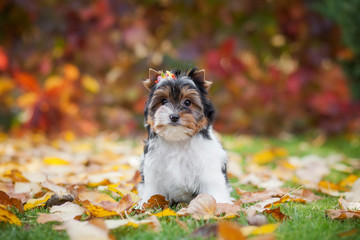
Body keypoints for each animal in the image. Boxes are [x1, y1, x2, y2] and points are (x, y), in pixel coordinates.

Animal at [136, 66, 232, 205]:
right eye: (163, 101)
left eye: (187, 102)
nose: (174, 116)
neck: (178, 139)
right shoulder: (154, 167)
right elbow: (153, 190)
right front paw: (147, 204)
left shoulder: (207, 167)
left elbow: (213, 185)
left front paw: (220, 204)